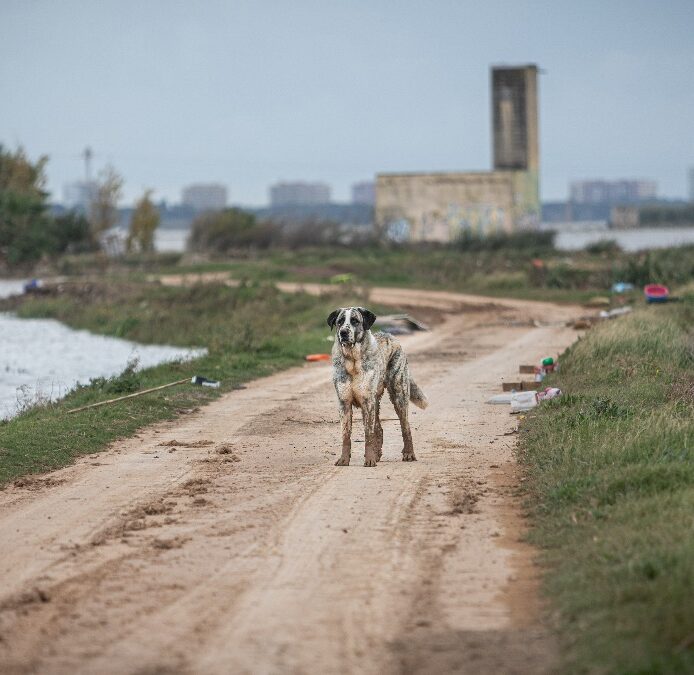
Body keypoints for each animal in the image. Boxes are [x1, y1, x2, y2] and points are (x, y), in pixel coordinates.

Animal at [328, 304, 430, 464]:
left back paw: (408, 453)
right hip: (375, 402)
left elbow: (368, 434)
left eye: (355, 321)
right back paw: (377, 455)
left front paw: (369, 460)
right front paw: (344, 460)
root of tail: (391, 336)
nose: (343, 332)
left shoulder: (367, 401)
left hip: (398, 395)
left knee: (405, 426)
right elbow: (346, 435)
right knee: (379, 428)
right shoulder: (344, 403)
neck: (353, 360)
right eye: (340, 321)